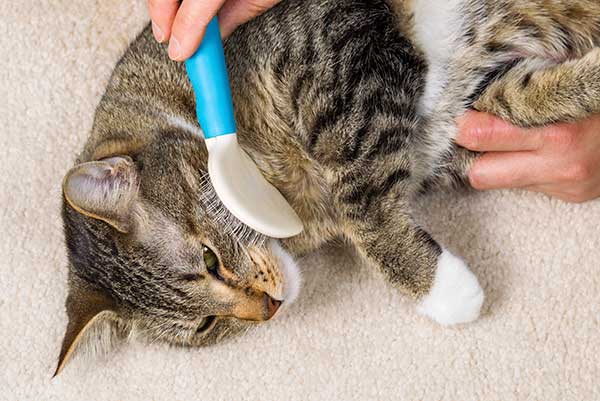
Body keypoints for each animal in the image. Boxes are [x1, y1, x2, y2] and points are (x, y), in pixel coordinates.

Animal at [54, 0, 600, 376]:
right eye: (206, 326)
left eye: (209, 258)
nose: (268, 309)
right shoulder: (461, 114)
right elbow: (521, 99)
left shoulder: (335, 51)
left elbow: (361, 199)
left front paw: (441, 288)